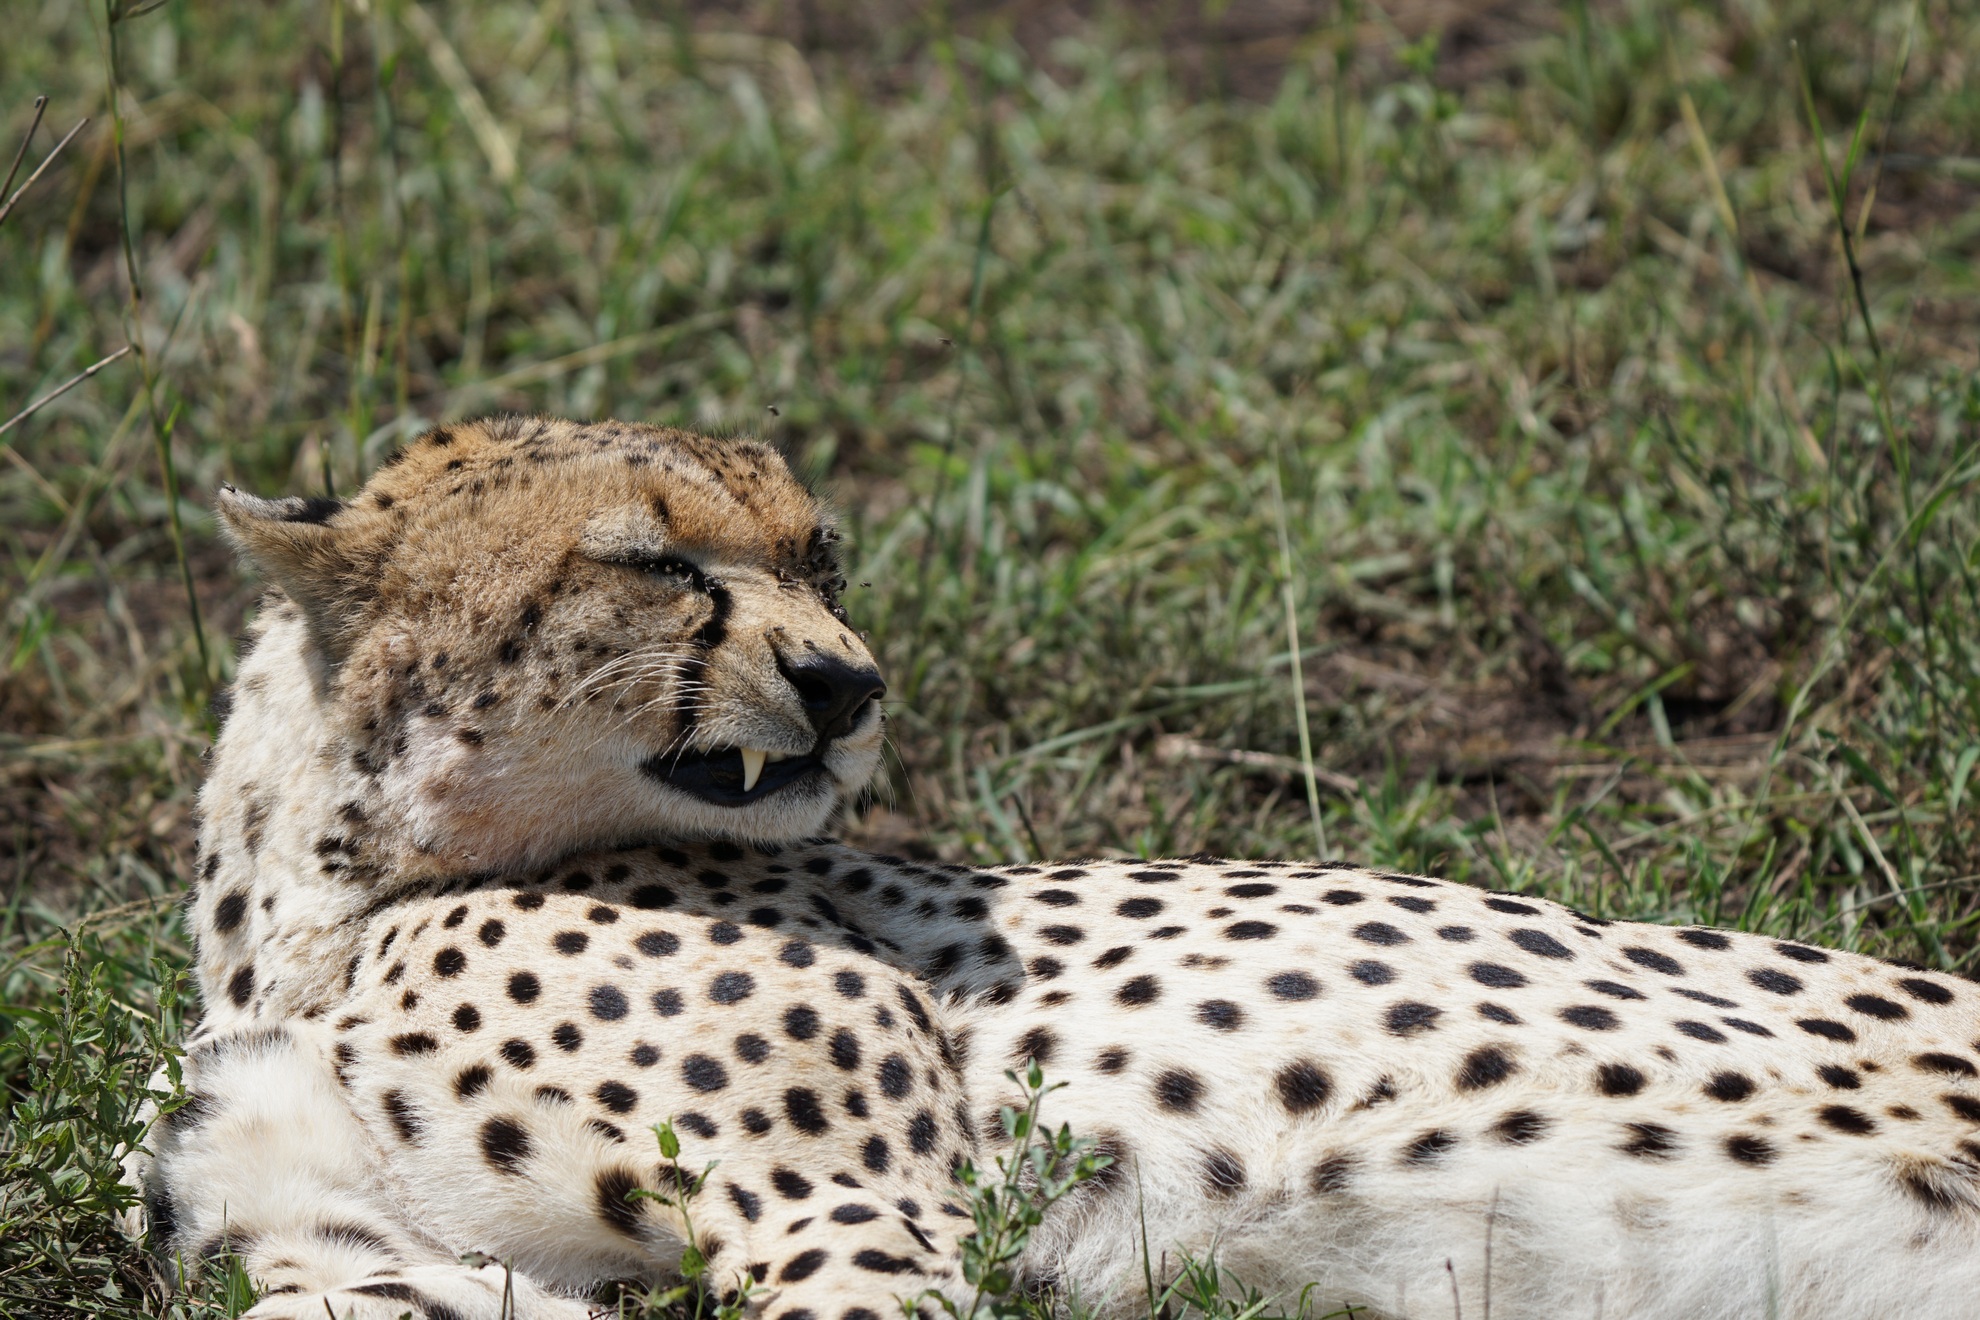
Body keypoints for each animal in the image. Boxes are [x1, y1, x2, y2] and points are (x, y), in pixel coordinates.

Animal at [130, 415, 1980, 1320]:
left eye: (820, 556)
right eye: (657, 565)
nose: (850, 683)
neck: (331, 903)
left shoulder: (853, 1202)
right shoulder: (352, 1240)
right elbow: (323, 1295)